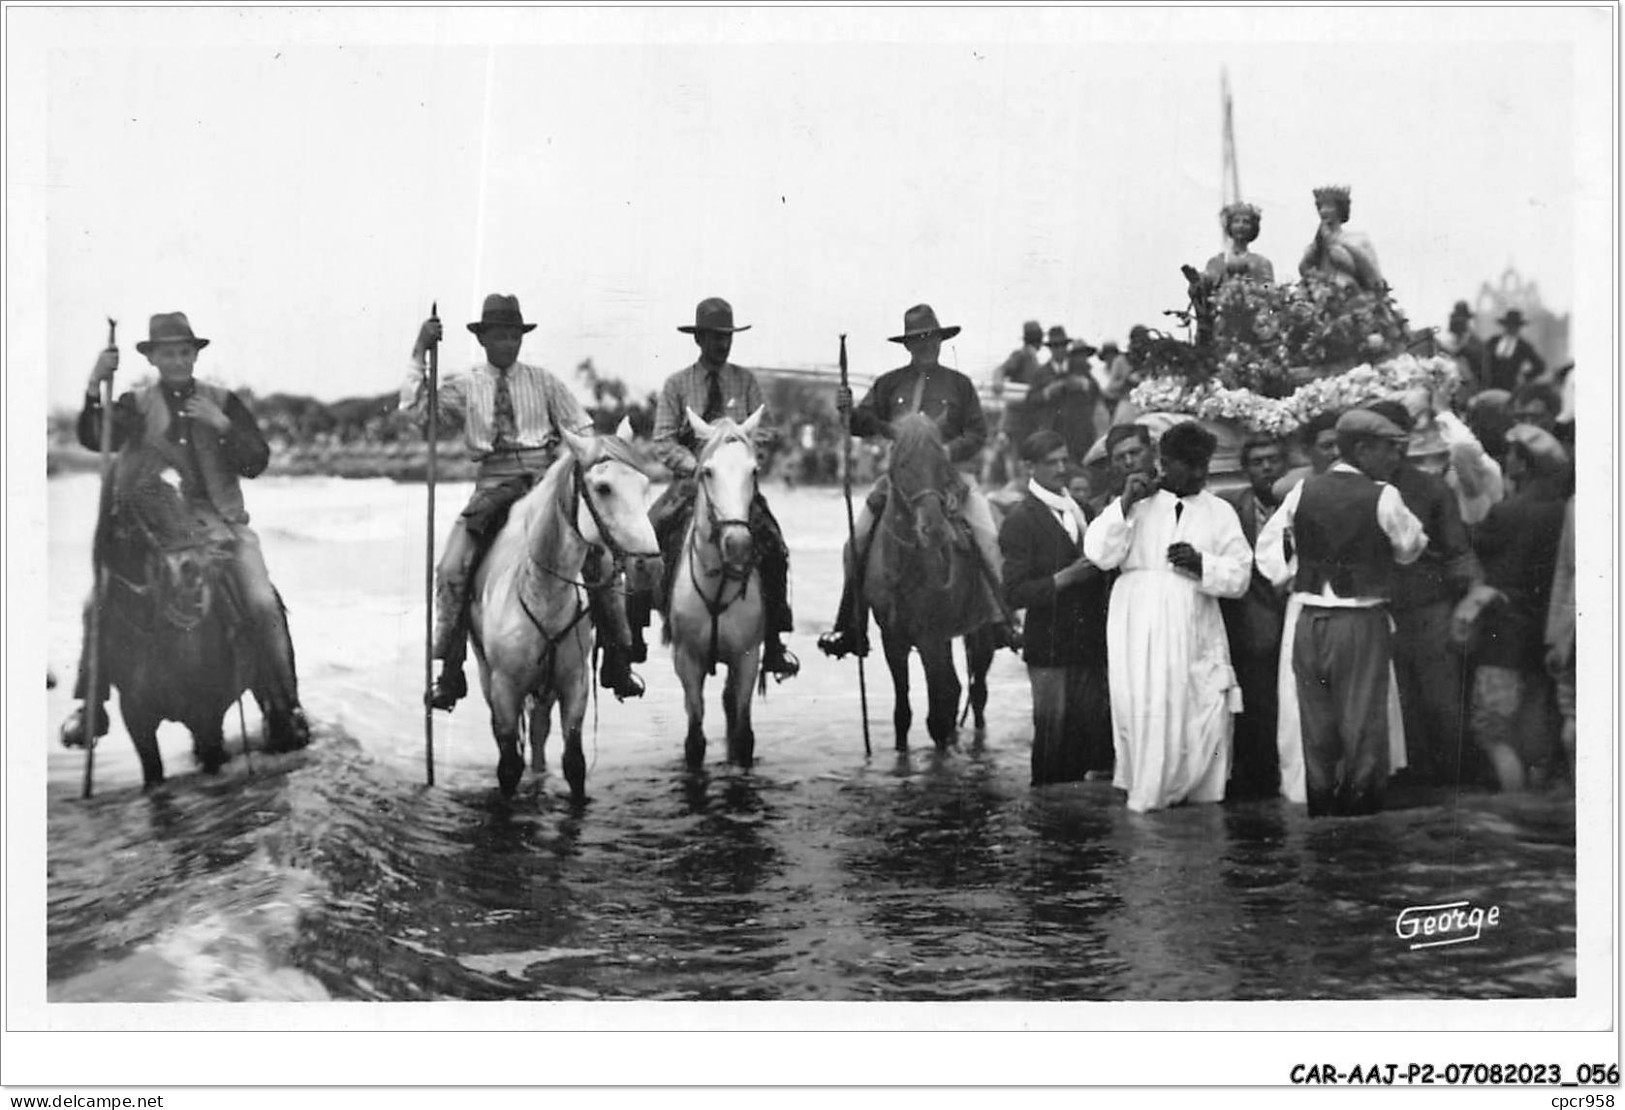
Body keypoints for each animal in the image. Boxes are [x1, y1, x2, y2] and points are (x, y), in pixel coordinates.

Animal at [468, 425, 656, 799]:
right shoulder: (504, 688)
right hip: (486, 676)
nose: (651, 565)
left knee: (540, 731)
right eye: (603, 487)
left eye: (645, 485)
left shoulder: (574, 684)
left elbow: (574, 763)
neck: (542, 592)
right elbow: (508, 764)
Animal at [672, 409, 773, 773]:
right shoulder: (686, 659)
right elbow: (695, 739)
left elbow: (743, 735)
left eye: (753, 470)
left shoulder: (747, 658)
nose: (739, 545)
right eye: (708, 472)